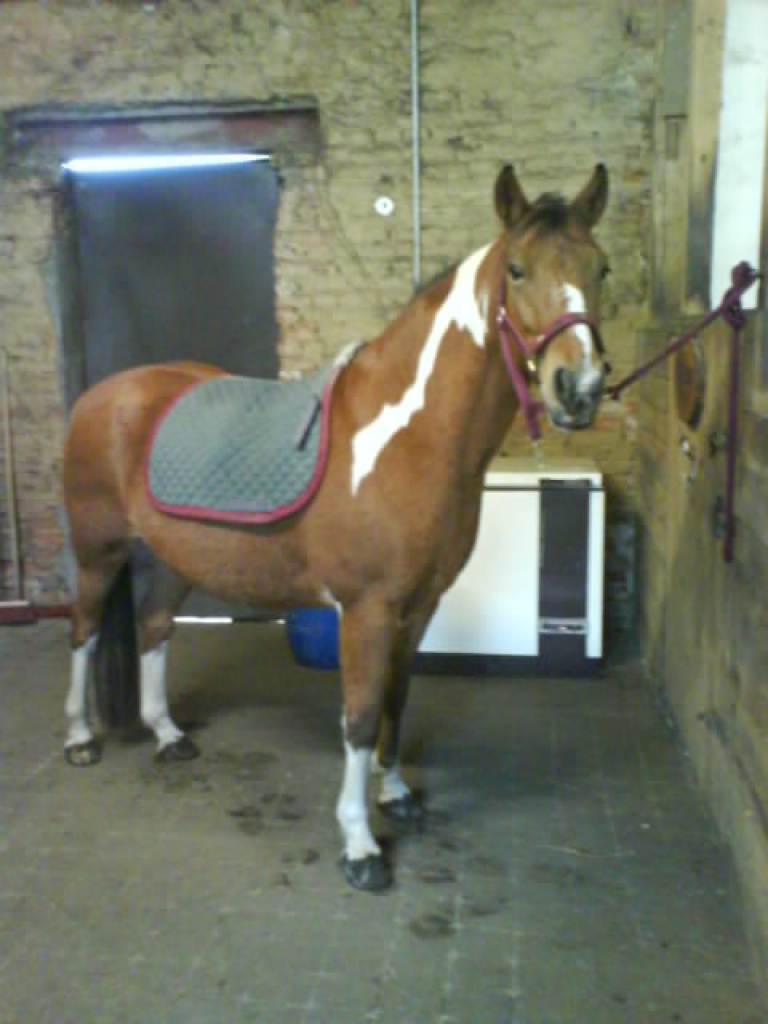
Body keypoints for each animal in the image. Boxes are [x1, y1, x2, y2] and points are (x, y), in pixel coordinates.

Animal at [61, 163, 610, 891]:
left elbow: (397, 699)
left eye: (601, 267)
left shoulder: (419, 606)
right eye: (517, 270)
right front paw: (360, 845)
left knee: (153, 628)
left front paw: (397, 796)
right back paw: (79, 740)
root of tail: (103, 395)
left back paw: (169, 736)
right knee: (84, 631)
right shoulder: (367, 610)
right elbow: (359, 715)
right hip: (98, 553)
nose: (578, 388)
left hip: (175, 559)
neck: (407, 434)